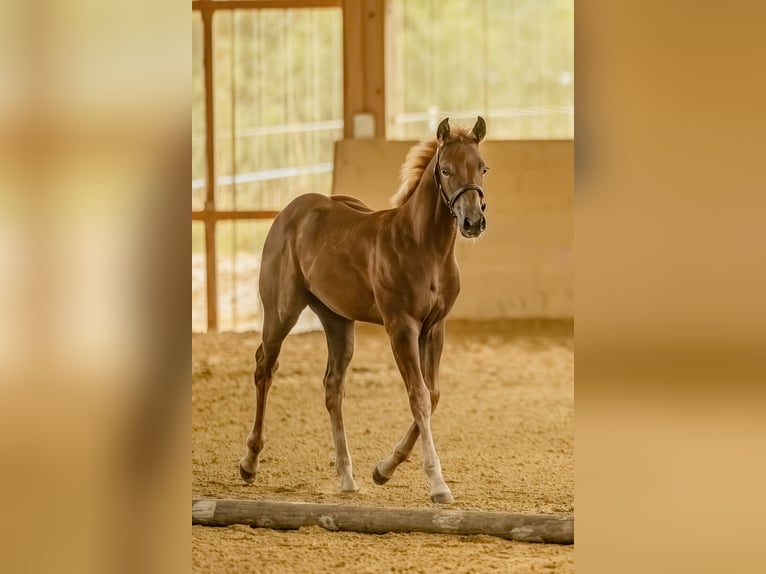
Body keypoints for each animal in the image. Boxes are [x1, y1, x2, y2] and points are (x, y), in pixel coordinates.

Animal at [239, 117, 489, 504]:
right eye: (445, 169)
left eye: (482, 167)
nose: (473, 222)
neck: (424, 248)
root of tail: (289, 213)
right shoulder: (401, 327)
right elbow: (418, 396)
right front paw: (437, 484)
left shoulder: (435, 327)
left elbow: (432, 395)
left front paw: (383, 469)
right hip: (281, 312)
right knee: (265, 367)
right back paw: (250, 462)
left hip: (338, 321)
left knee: (333, 387)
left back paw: (347, 476)